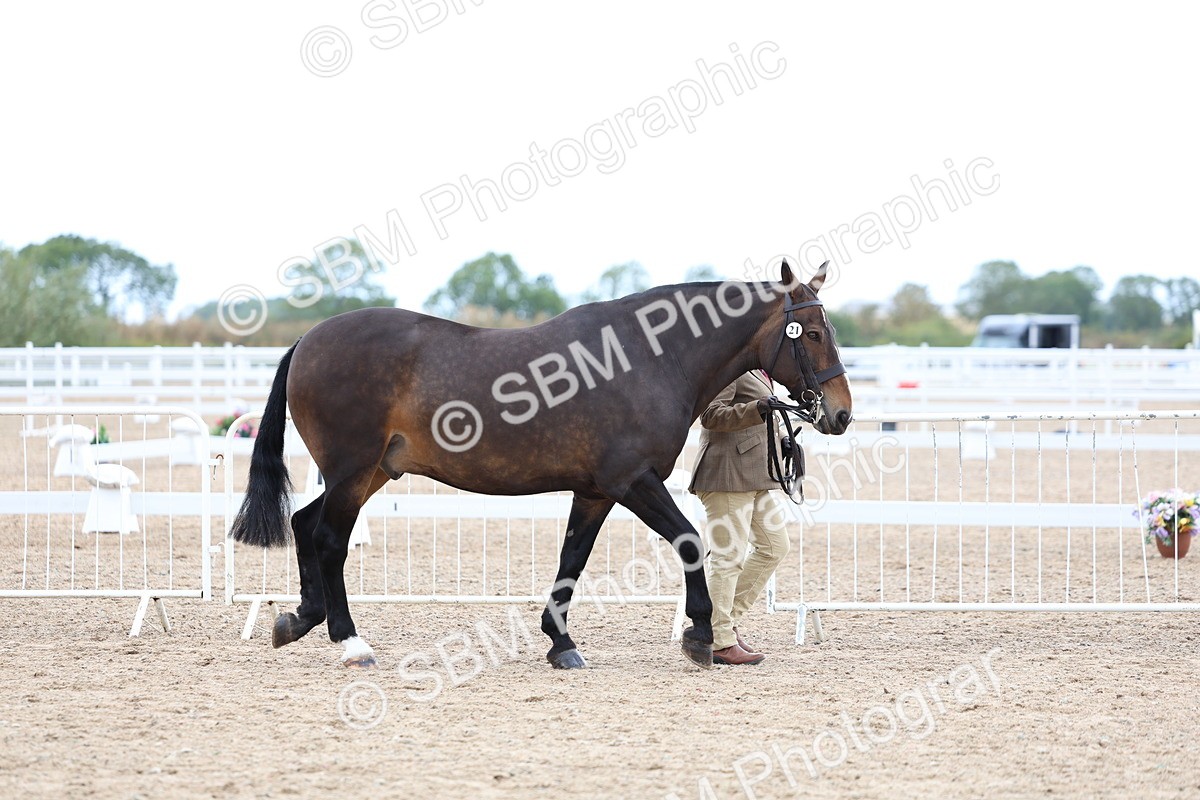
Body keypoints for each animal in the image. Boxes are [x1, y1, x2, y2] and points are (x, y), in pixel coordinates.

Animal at [230, 259, 853, 669]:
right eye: (810, 332)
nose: (841, 413)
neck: (649, 357)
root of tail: (308, 339)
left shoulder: (597, 491)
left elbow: (571, 560)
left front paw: (561, 643)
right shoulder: (633, 480)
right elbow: (689, 541)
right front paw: (700, 637)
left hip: (369, 472)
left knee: (304, 523)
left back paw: (297, 619)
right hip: (354, 471)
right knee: (329, 538)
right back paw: (351, 642)